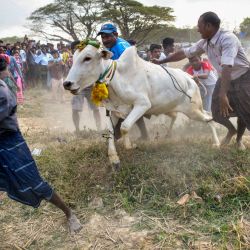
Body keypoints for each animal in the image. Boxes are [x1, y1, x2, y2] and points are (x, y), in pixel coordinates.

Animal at [63, 45, 220, 170]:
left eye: (87, 58)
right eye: (74, 58)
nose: (67, 83)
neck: (117, 78)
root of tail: (191, 79)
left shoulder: (142, 104)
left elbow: (125, 127)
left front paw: (129, 146)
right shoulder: (113, 111)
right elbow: (110, 132)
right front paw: (114, 158)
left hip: (192, 110)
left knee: (209, 118)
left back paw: (217, 143)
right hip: (171, 109)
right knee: (181, 116)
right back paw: (168, 135)